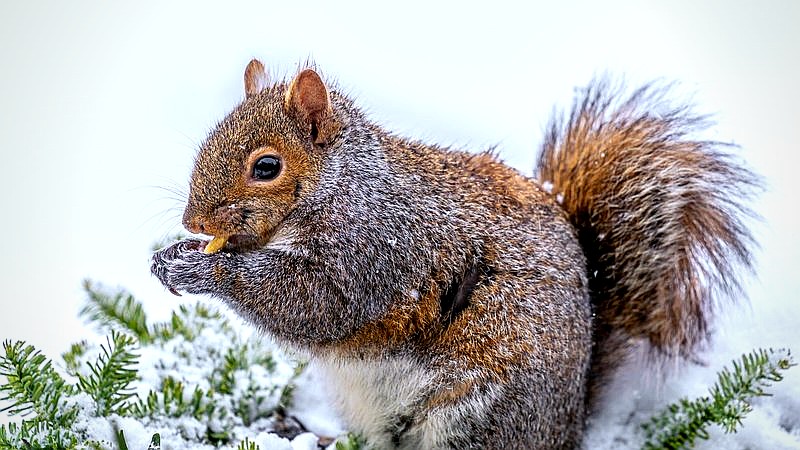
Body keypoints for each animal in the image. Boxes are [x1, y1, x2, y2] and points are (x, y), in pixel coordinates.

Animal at [151, 59, 758, 449]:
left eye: (266, 166)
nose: (193, 223)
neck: (343, 183)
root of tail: (565, 428)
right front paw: (172, 255)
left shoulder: (378, 248)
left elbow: (317, 302)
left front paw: (204, 267)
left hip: (477, 406)